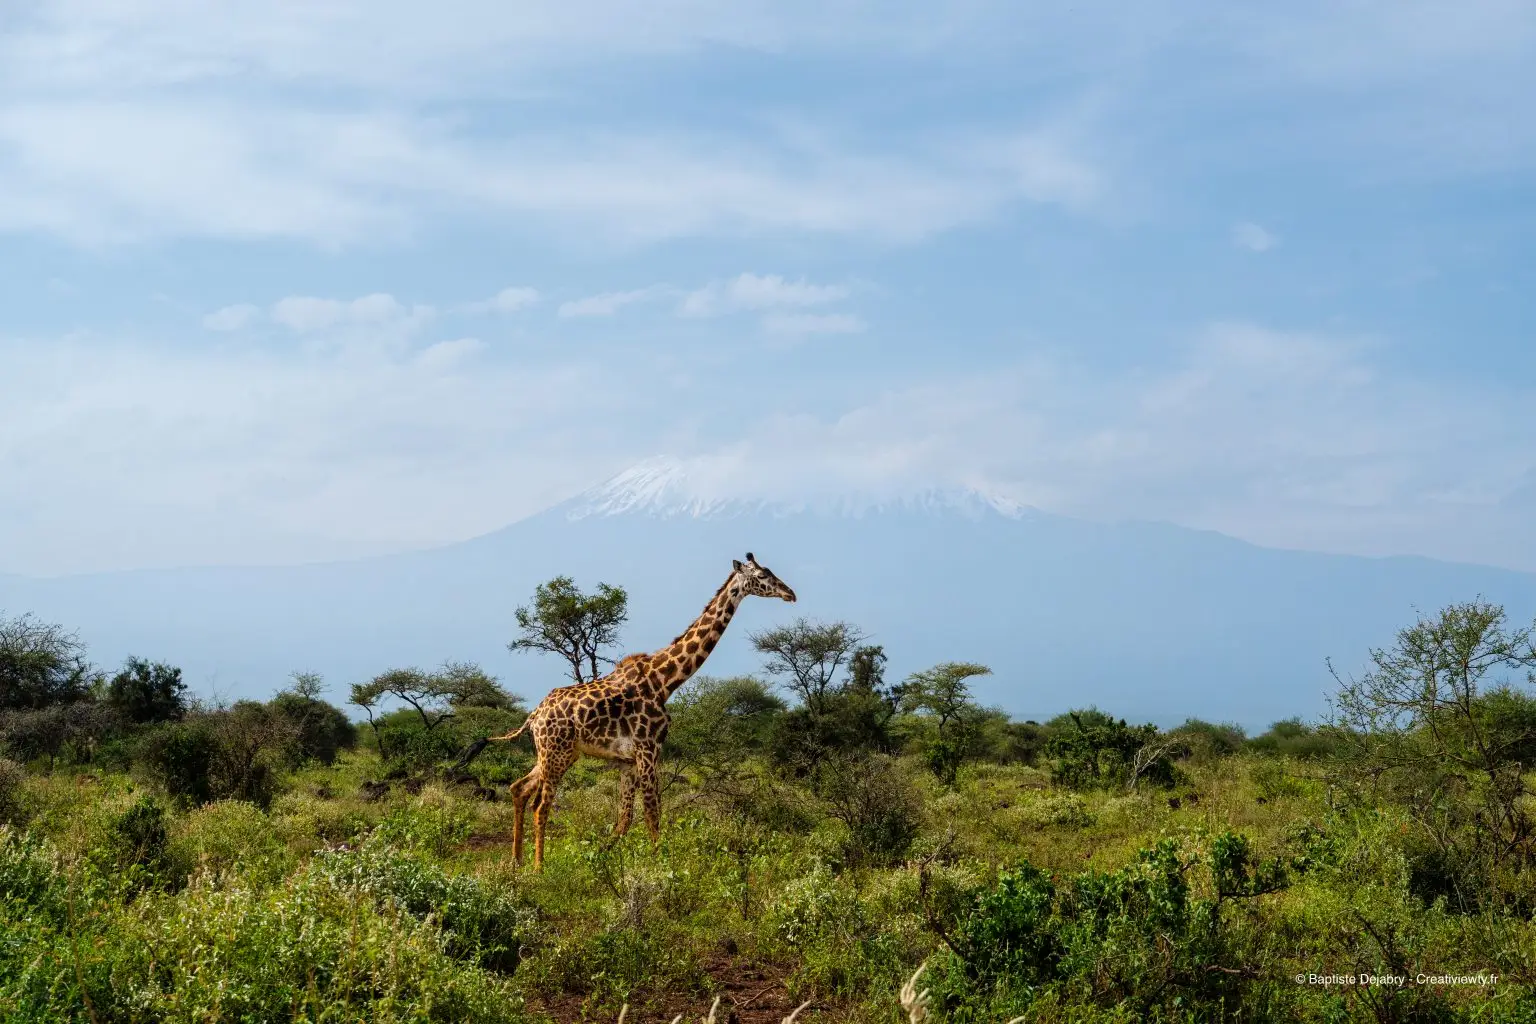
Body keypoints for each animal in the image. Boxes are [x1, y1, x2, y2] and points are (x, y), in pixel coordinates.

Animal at [484, 552, 796, 870]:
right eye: (762, 575)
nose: (790, 593)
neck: (664, 681)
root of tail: (533, 716)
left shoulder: (627, 761)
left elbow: (625, 818)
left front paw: (604, 857)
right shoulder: (649, 749)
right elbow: (652, 811)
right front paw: (660, 865)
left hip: (556, 753)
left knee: (518, 788)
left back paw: (516, 861)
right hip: (556, 754)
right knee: (540, 805)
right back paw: (539, 867)